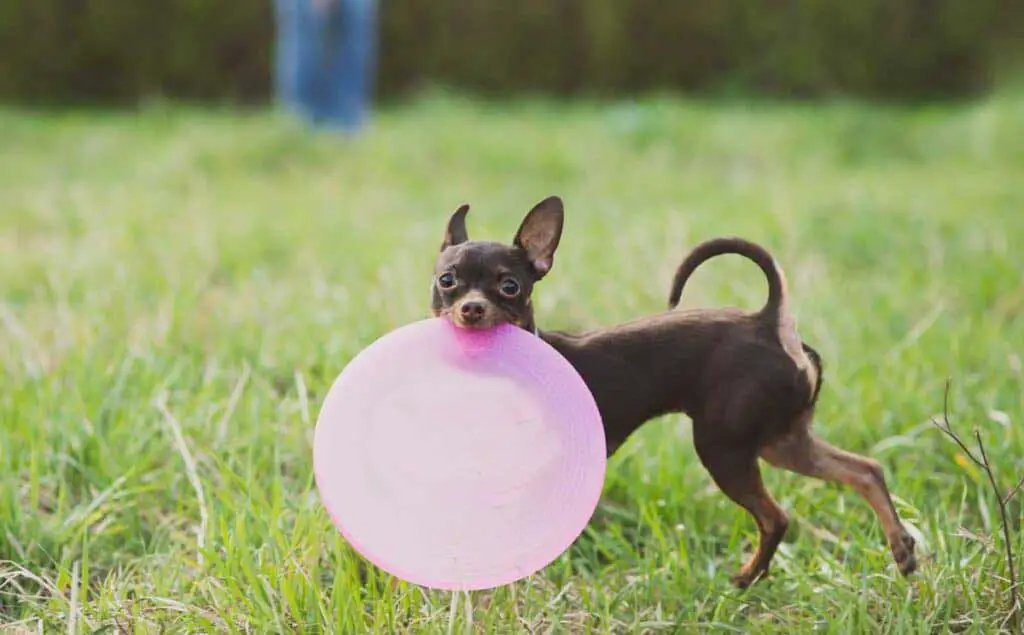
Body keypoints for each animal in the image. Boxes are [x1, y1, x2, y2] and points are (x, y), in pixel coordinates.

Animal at [428, 195, 917, 585]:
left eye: (510, 286)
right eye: (446, 281)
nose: (472, 308)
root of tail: (769, 322)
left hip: (724, 446)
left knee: (776, 518)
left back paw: (746, 578)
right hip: (782, 441)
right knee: (865, 470)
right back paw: (901, 548)